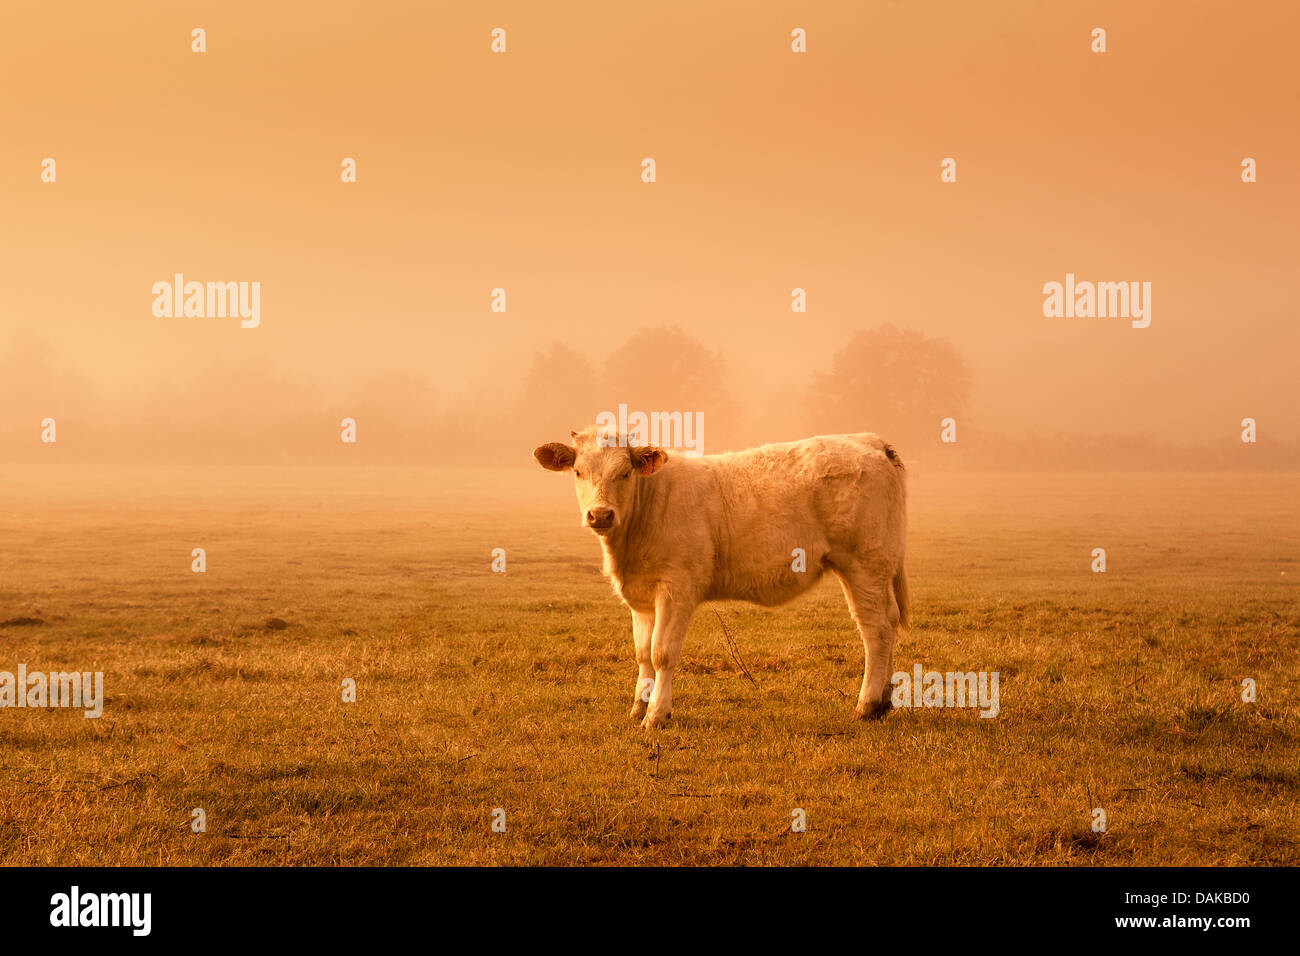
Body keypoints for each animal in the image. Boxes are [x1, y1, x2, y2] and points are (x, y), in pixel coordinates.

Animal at [533, 421, 909, 728]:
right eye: (578, 472)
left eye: (625, 472)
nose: (600, 514)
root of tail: (870, 440)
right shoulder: (641, 598)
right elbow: (642, 653)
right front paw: (639, 707)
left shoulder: (677, 588)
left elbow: (661, 652)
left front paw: (656, 715)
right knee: (889, 620)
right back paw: (883, 701)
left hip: (865, 563)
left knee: (875, 628)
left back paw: (867, 705)